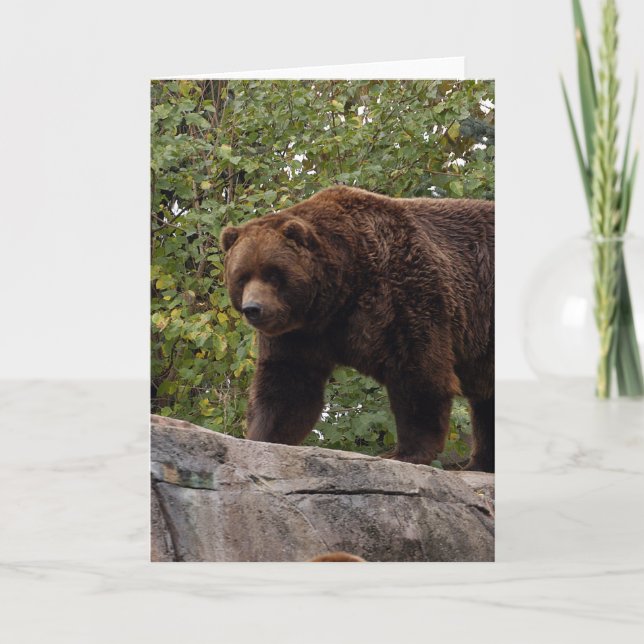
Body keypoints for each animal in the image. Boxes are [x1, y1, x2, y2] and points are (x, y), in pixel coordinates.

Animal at [220, 186, 494, 472]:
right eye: (241, 277)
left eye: (273, 274)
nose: (253, 308)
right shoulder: (300, 334)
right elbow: (287, 385)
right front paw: (260, 439)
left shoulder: (404, 291)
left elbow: (419, 370)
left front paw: (403, 453)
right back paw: (480, 464)